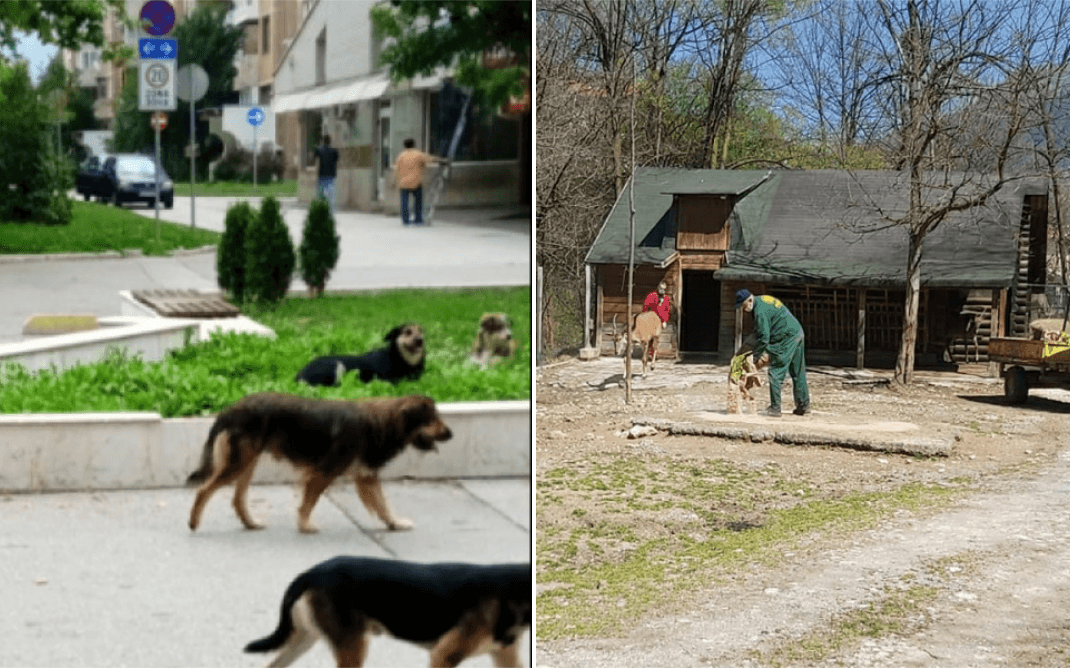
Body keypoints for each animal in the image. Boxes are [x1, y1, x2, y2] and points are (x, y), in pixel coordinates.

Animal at [186, 392, 451, 534]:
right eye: (432, 419)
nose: (451, 434)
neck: (380, 423)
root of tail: (229, 410)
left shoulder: (366, 476)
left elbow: (384, 506)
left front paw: (395, 523)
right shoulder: (325, 471)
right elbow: (309, 502)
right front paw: (305, 525)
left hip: (248, 462)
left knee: (237, 498)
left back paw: (251, 523)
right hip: (239, 462)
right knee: (203, 490)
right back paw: (194, 522)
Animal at [294, 324, 427, 386]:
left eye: (420, 331)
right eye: (407, 332)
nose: (420, 340)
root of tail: (299, 375)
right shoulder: (388, 380)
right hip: (336, 366)